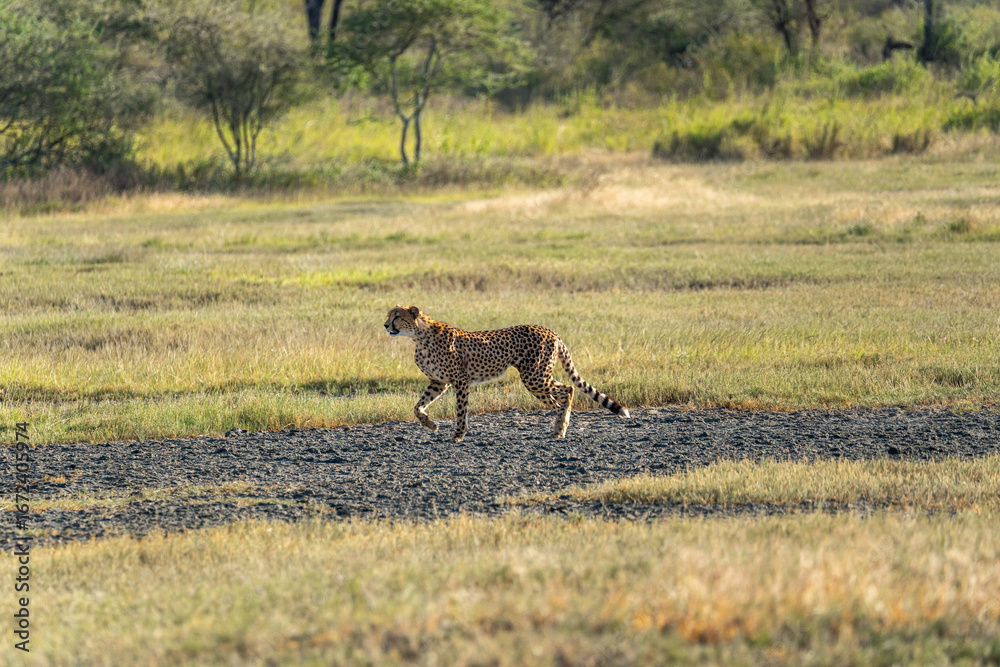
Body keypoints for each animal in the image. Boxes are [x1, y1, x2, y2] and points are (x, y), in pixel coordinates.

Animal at [384, 305, 630, 442]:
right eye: (389, 315)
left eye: (397, 317)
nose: (386, 325)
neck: (418, 336)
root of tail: (549, 330)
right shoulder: (438, 382)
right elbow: (417, 407)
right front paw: (431, 425)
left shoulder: (460, 380)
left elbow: (460, 410)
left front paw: (458, 435)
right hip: (536, 379)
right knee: (557, 400)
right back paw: (558, 429)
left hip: (534, 376)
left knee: (567, 390)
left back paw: (560, 429)